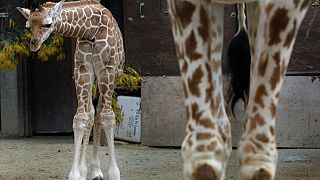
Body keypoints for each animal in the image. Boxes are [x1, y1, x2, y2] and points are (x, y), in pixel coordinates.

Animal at [17, 0, 125, 180]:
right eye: (28, 25)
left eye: (48, 24)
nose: (34, 44)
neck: (91, 30)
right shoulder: (83, 70)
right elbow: (81, 118)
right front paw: (76, 173)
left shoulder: (107, 70)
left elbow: (108, 117)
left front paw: (114, 173)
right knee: (91, 113)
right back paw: (91, 171)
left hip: (112, 76)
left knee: (100, 112)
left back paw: (97, 171)